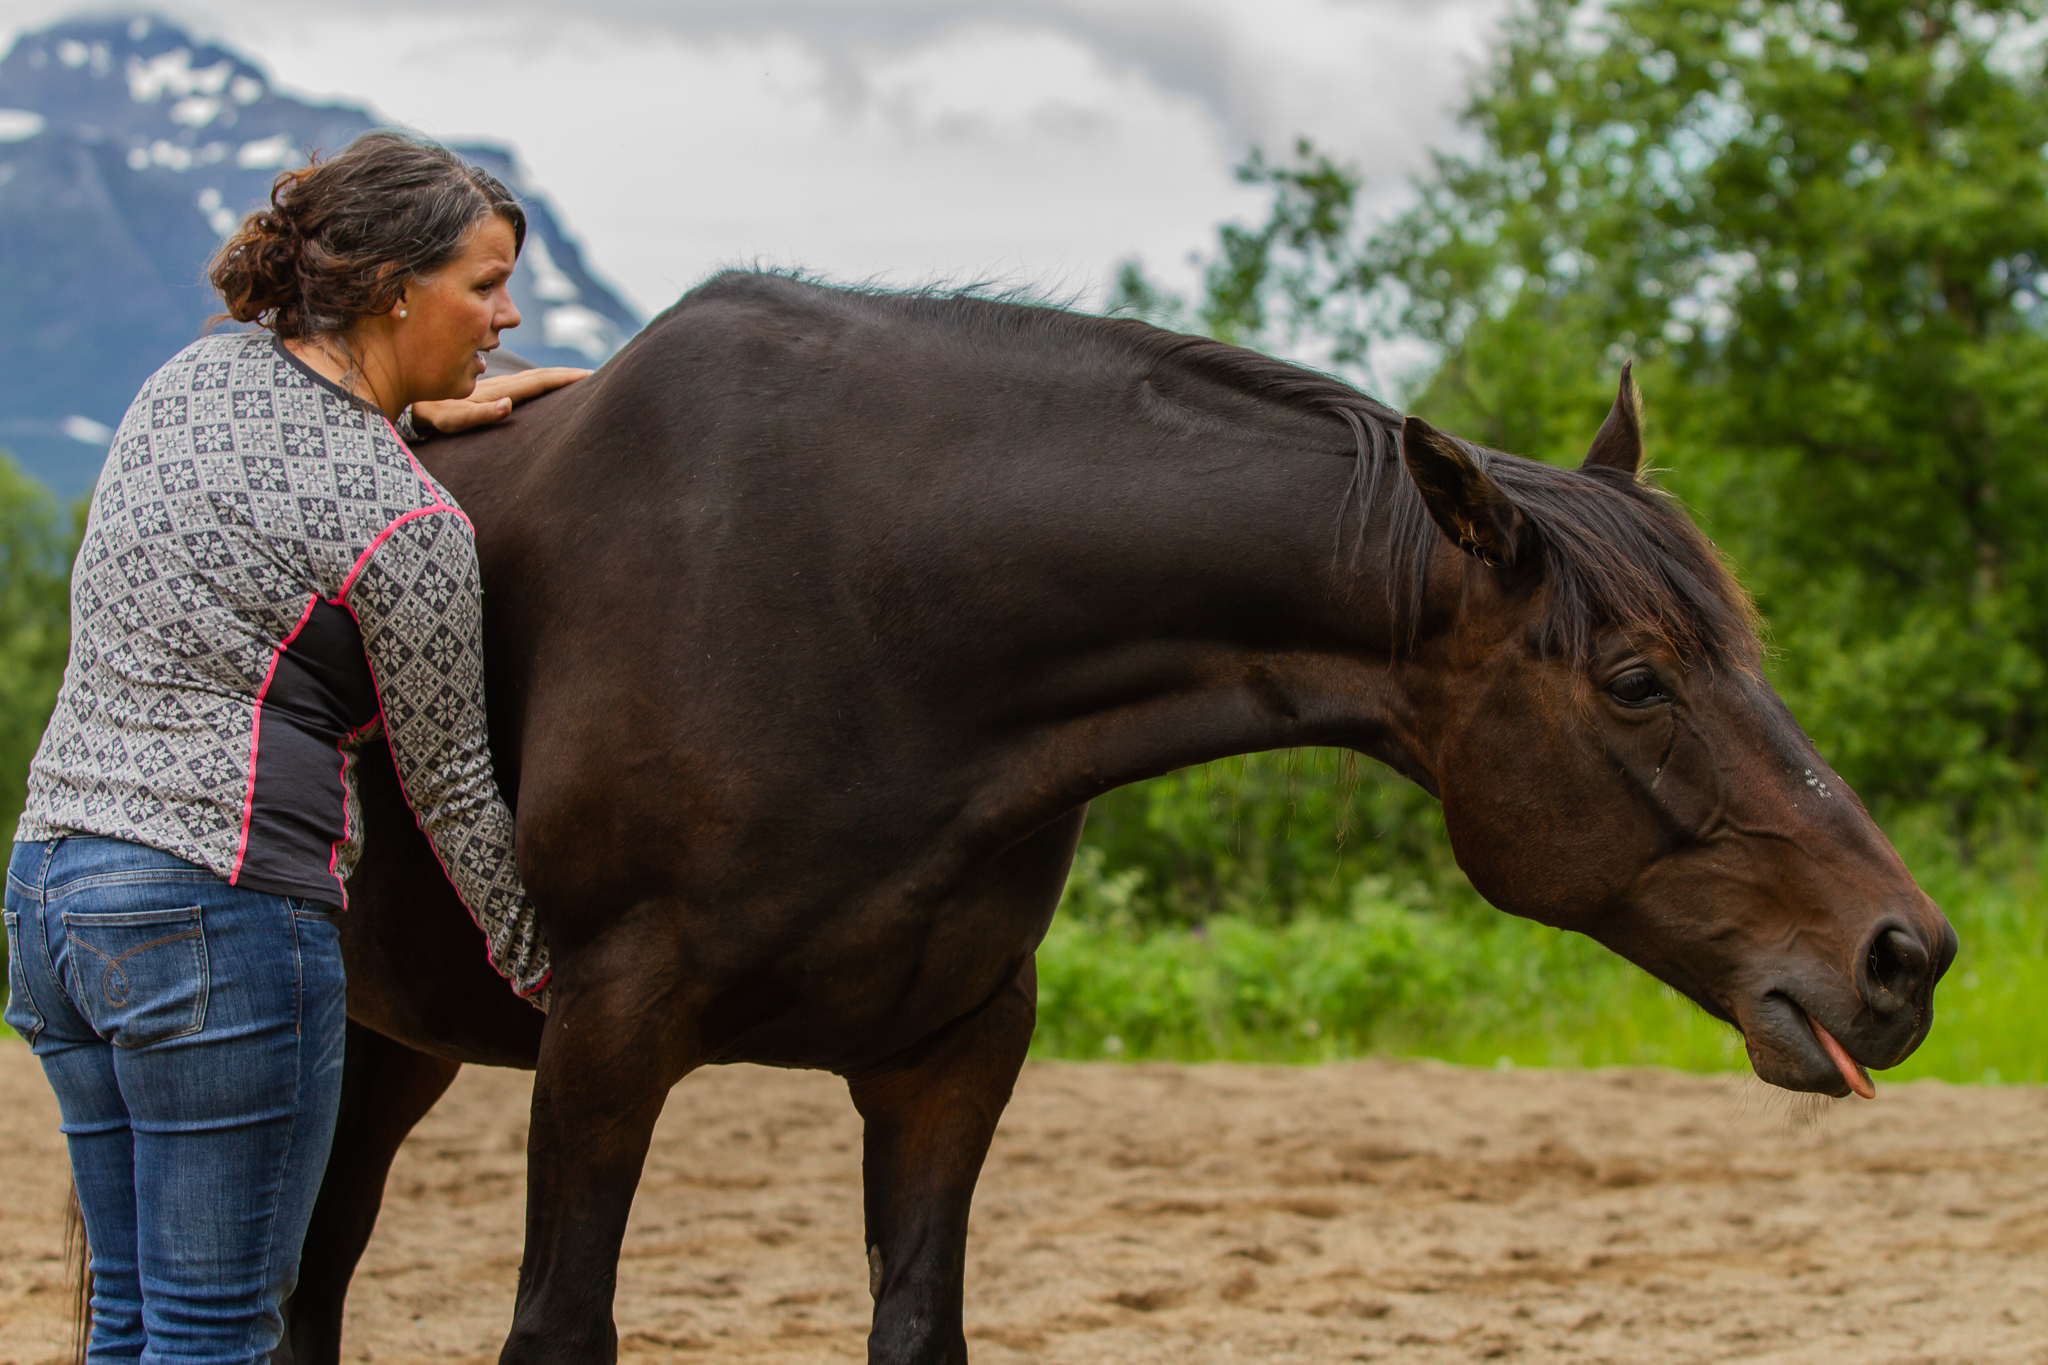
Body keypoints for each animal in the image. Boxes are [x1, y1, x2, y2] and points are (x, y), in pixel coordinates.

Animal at [272, 270, 1949, 1365]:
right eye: (1638, 679)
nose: (1908, 955)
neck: (860, 600)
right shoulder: (609, 1031)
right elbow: (557, 1326)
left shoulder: (951, 1055)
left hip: (391, 1043)